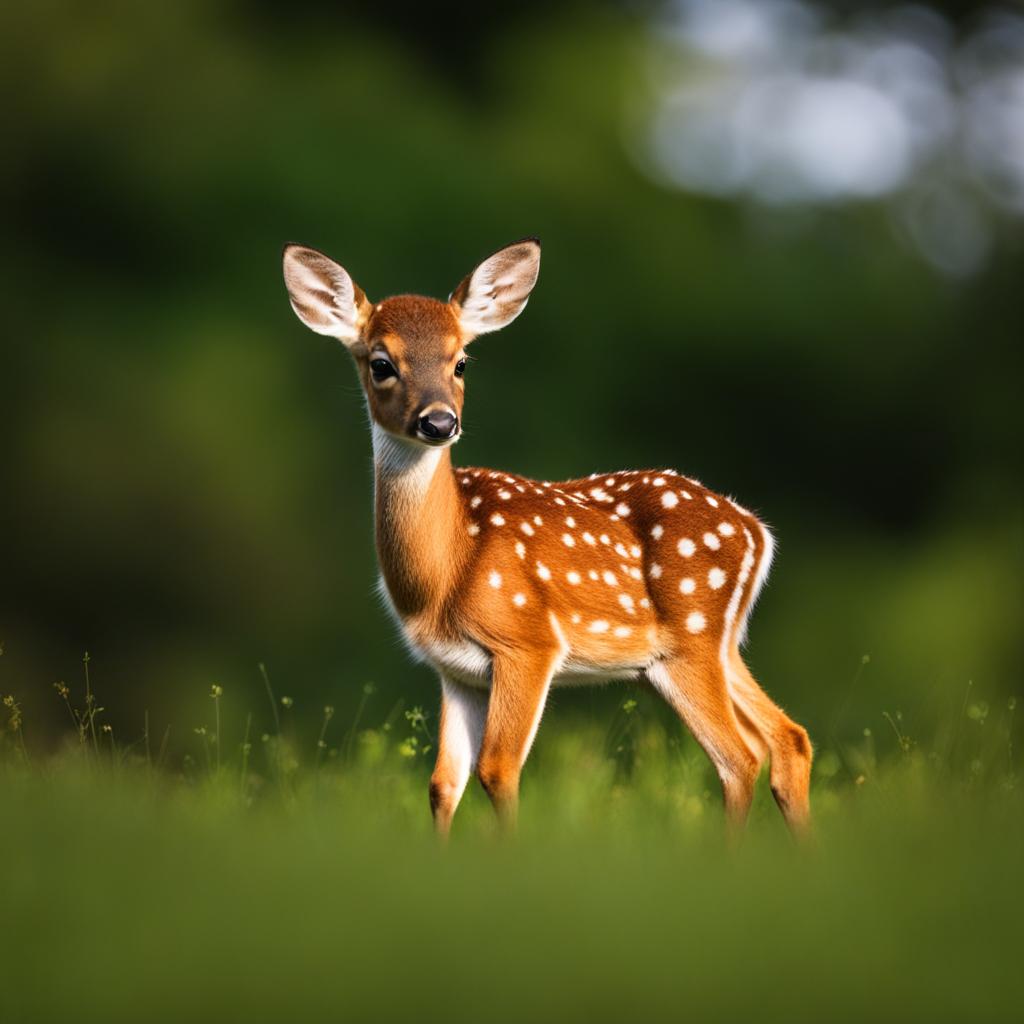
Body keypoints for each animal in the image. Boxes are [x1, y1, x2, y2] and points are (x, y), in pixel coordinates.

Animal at [284, 243, 811, 835]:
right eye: (381, 364)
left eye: (461, 361)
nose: (440, 422)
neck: (445, 571)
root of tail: (756, 529)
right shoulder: (455, 671)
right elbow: (443, 784)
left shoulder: (528, 641)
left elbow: (497, 771)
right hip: (711, 647)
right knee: (788, 738)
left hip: (690, 642)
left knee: (738, 757)